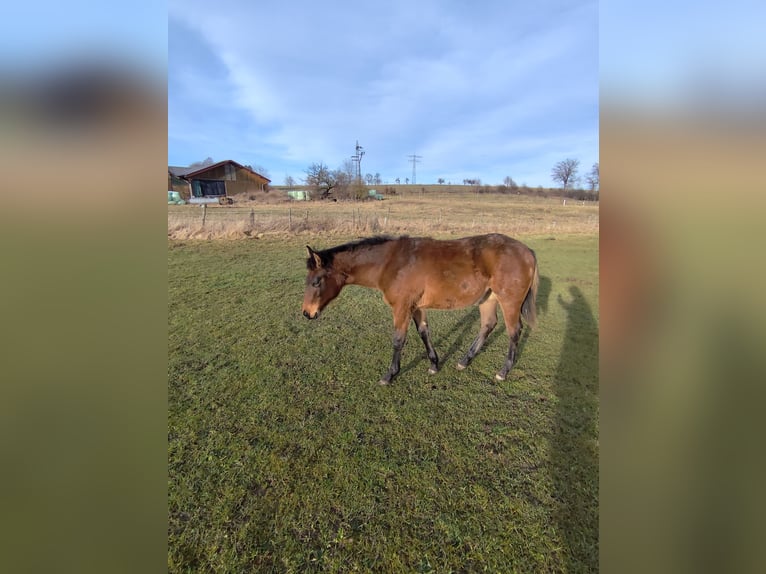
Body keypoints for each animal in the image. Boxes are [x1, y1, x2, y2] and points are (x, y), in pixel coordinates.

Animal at [302, 233, 539, 385]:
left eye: (316, 282)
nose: (307, 313)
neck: (390, 263)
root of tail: (527, 251)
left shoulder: (402, 307)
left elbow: (398, 339)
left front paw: (390, 375)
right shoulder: (416, 307)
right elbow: (424, 332)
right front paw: (434, 364)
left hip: (509, 301)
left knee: (514, 331)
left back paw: (503, 371)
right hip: (488, 299)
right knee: (488, 325)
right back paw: (464, 361)